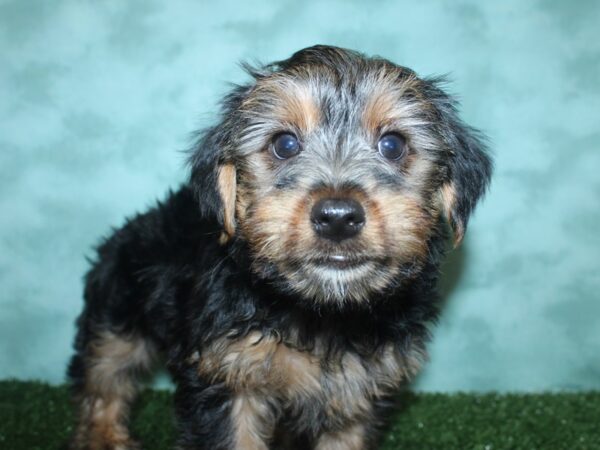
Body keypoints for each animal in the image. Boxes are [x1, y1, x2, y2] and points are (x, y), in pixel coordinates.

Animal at [68, 45, 492, 450]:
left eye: (392, 145)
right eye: (284, 144)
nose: (338, 217)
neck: (323, 312)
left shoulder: (360, 386)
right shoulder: (228, 376)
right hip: (118, 307)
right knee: (104, 373)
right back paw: (103, 436)